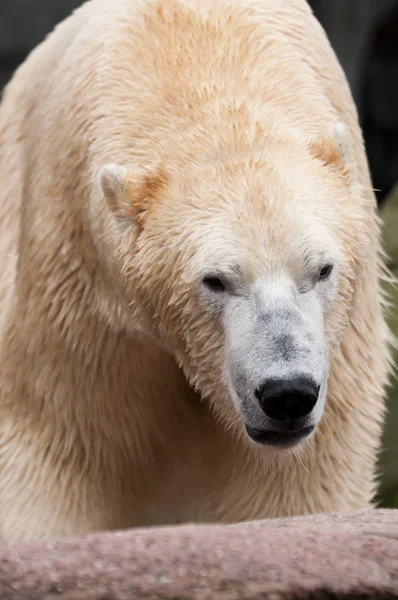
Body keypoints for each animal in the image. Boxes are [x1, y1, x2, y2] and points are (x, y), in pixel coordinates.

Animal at [0, 0, 392, 544]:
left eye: (321, 269)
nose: (287, 394)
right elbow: (59, 443)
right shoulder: (77, 292)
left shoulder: (345, 344)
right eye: (216, 280)